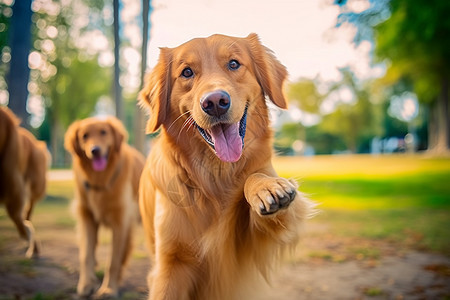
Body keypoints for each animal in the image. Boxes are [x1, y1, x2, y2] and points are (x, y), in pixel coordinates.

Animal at [64, 116, 145, 296]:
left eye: (103, 132)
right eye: (85, 136)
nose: (95, 150)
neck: (100, 180)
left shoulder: (120, 222)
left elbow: (113, 261)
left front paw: (109, 289)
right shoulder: (87, 217)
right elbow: (86, 254)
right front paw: (86, 284)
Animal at [139, 33, 314, 300]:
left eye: (233, 64)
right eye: (187, 72)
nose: (215, 102)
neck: (217, 173)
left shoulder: (261, 241)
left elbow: (255, 177)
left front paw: (267, 188)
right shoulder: (170, 263)